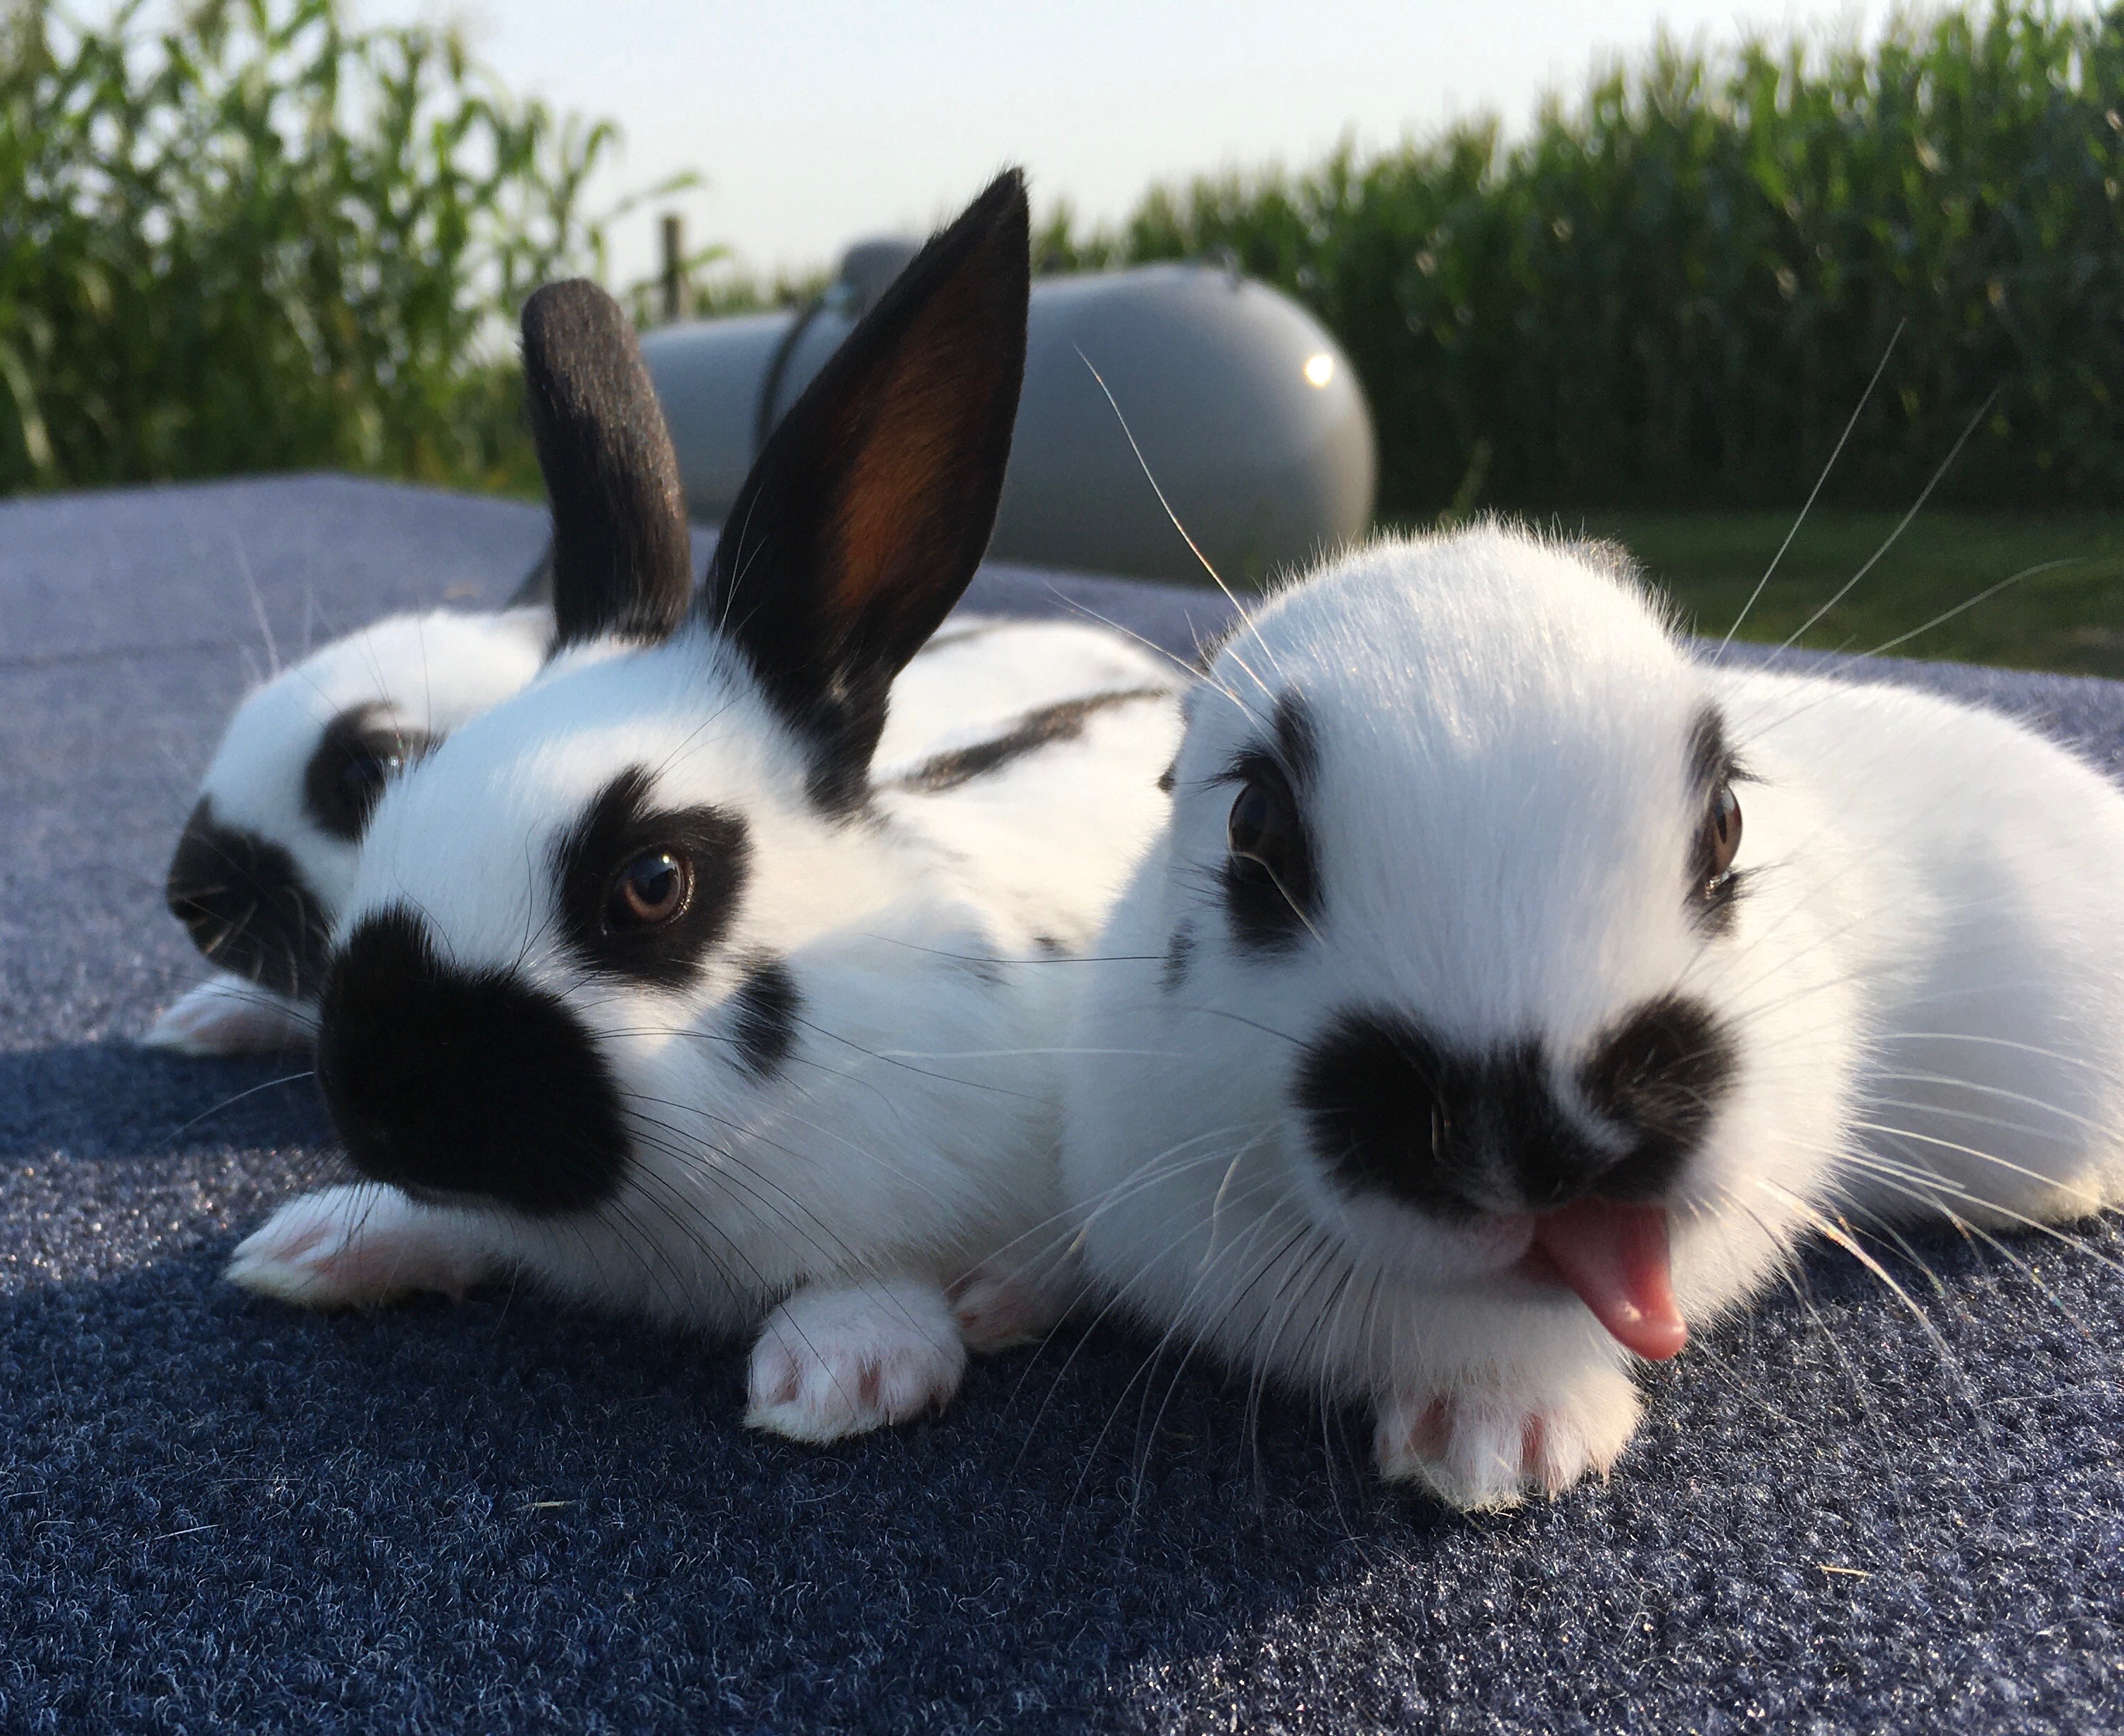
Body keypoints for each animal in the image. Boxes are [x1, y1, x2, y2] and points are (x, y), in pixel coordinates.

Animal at [223, 171, 1186, 1444]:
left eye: (652, 883)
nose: (374, 1095)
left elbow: (889, 1262)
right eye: (392, 799)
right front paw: (323, 1243)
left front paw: (841, 1370)